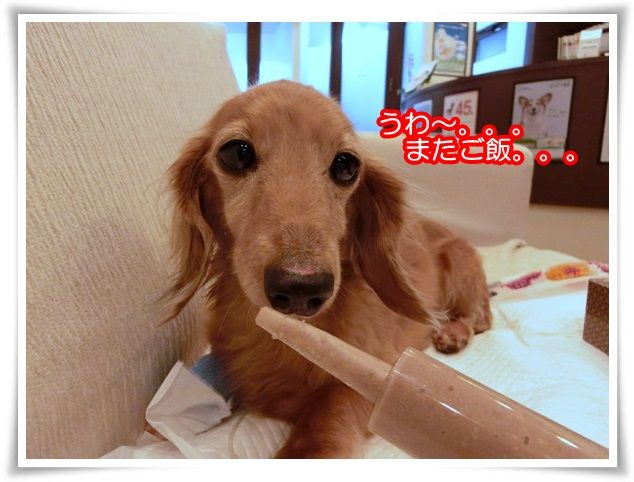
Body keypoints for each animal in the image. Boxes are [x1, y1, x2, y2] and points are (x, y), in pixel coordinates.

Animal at [164, 80, 491, 458]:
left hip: (459, 264)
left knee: (479, 318)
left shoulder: (373, 373)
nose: (301, 287)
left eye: (346, 165)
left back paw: (454, 332)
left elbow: (327, 418)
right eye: (237, 154)